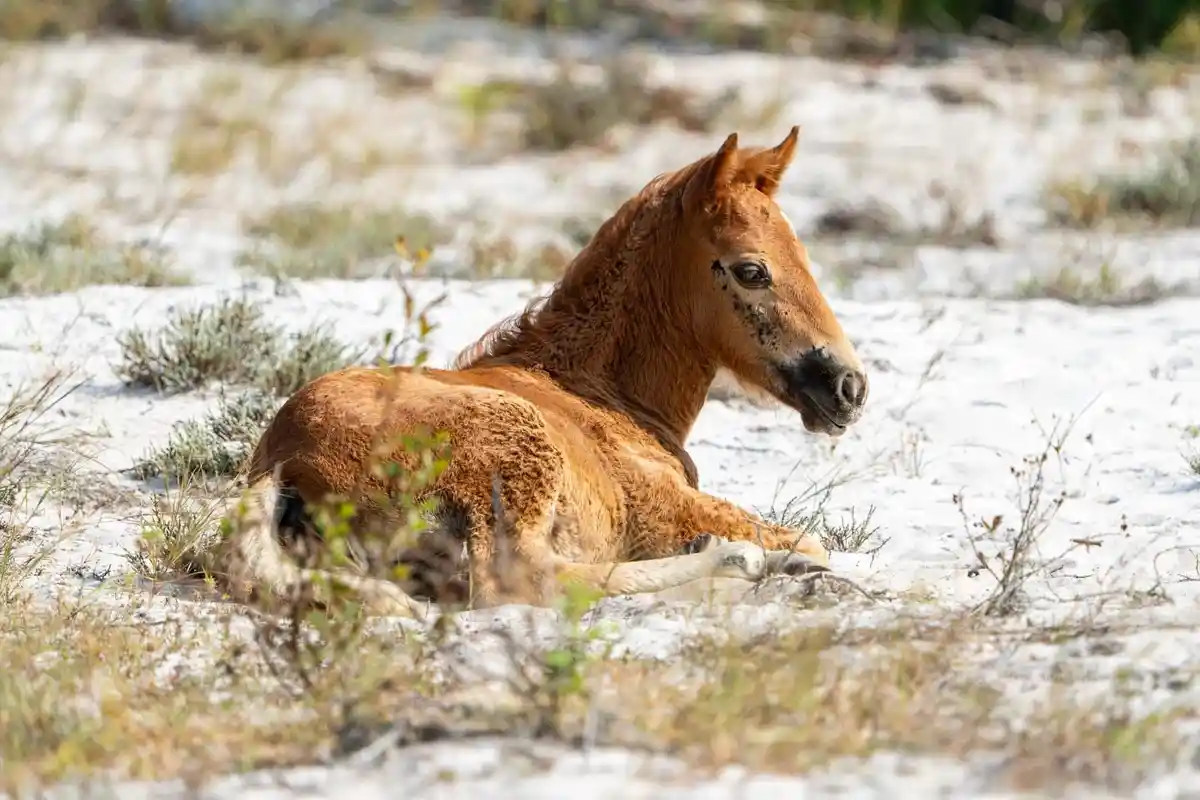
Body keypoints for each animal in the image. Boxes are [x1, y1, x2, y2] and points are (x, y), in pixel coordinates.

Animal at [212, 126, 870, 620]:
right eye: (751, 270)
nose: (849, 386)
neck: (597, 393)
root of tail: (282, 459)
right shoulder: (662, 507)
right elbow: (811, 540)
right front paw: (771, 558)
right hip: (513, 458)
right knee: (522, 580)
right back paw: (736, 563)